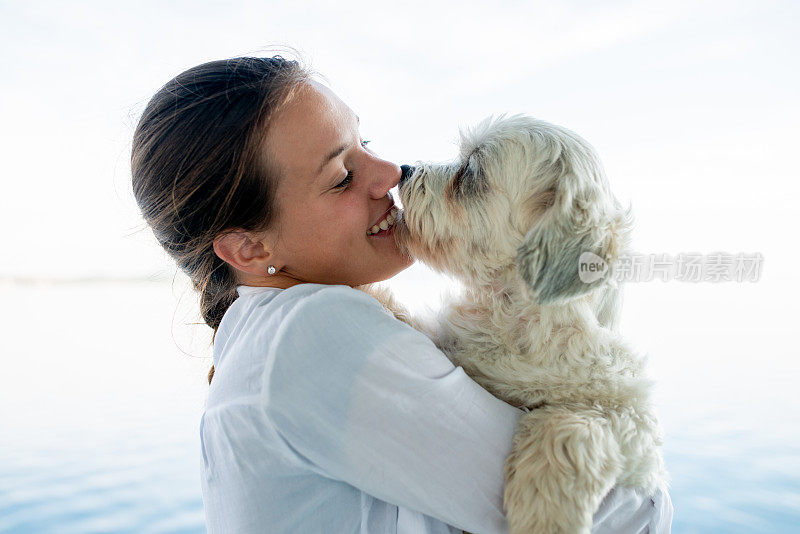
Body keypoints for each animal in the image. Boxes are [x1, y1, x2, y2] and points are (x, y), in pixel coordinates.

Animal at [372, 117, 664, 534]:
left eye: (471, 171)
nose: (404, 169)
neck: (515, 319)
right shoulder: (446, 342)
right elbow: (403, 315)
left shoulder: (635, 423)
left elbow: (575, 427)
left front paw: (546, 515)